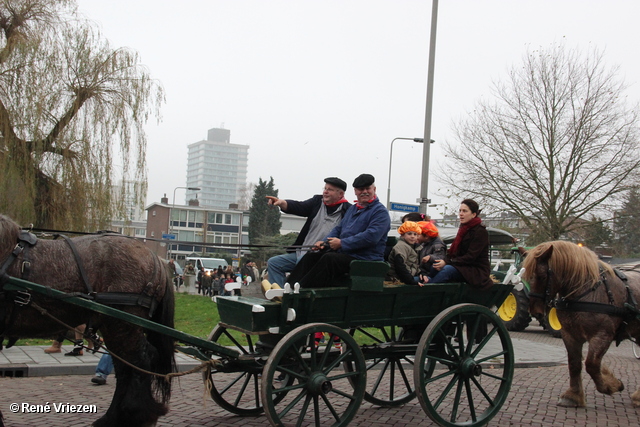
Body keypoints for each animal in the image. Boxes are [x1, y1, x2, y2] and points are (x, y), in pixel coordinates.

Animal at [0, 216, 175, 426]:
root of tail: (156, 257)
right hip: (116, 325)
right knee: (124, 367)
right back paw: (112, 418)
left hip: (122, 324)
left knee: (139, 361)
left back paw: (135, 414)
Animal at [524, 242, 640, 410]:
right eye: (525, 276)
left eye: (542, 276)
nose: (535, 311)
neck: (587, 291)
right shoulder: (570, 335)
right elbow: (574, 364)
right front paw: (573, 397)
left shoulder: (602, 335)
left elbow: (591, 364)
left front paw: (611, 385)